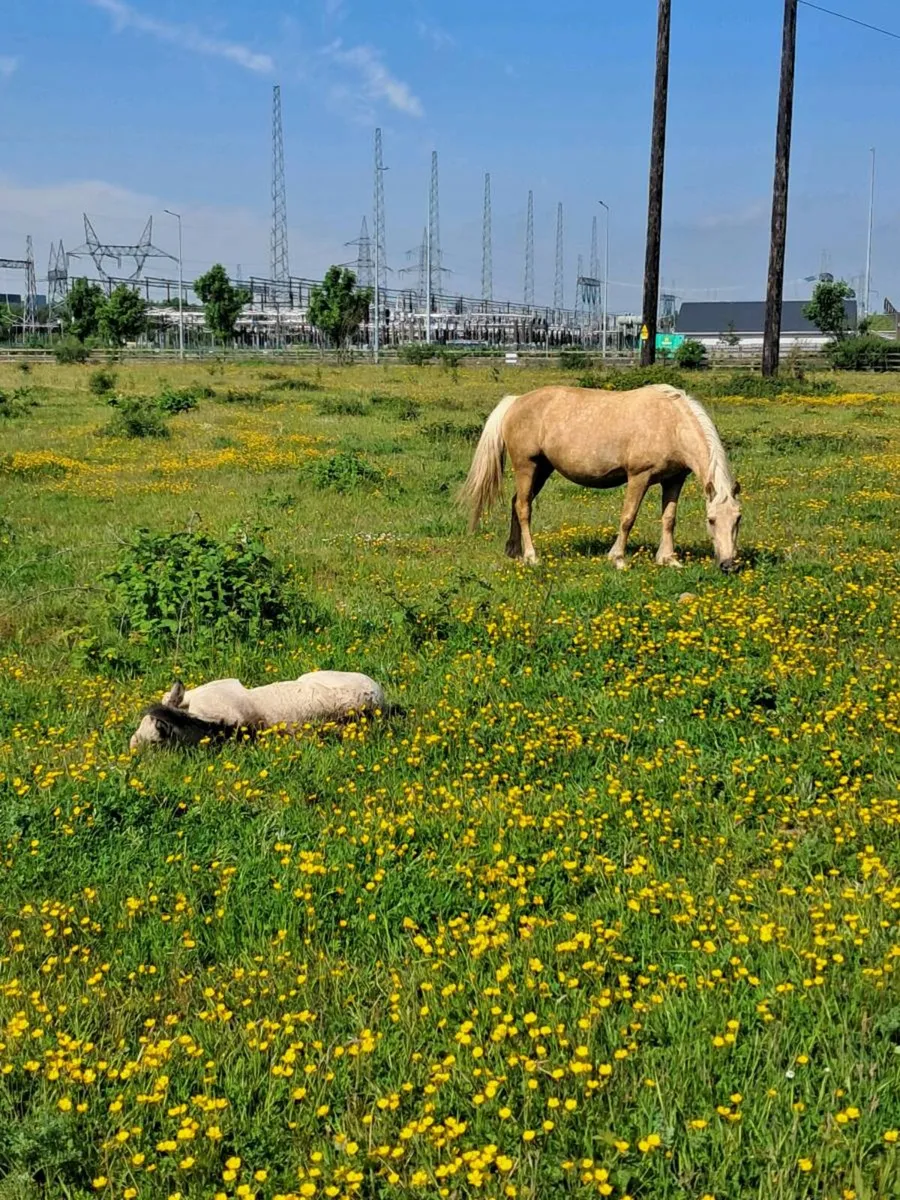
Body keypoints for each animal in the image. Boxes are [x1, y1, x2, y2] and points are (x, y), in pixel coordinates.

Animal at [460, 384, 742, 571]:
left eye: (738, 519)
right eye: (711, 520)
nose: (729, 565)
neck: (671, 423)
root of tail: (516, 401)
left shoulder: (674, 479)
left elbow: (669, 519)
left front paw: (668, 559)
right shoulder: (639, 477)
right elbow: (628, 518)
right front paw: (618, 558)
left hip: (542, 469)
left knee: (517, 503)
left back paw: (514, 551)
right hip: (526, 466)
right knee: (523, 508)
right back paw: (531, 556)